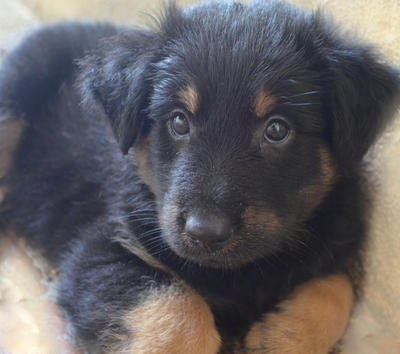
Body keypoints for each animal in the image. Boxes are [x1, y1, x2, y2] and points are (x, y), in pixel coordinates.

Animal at [0, 0, 400, 352]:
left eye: (277, 130)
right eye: (179, 121)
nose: (205, 232)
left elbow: (339, 284)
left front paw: (284, 334)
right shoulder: (100, 247)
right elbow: (179, 315)